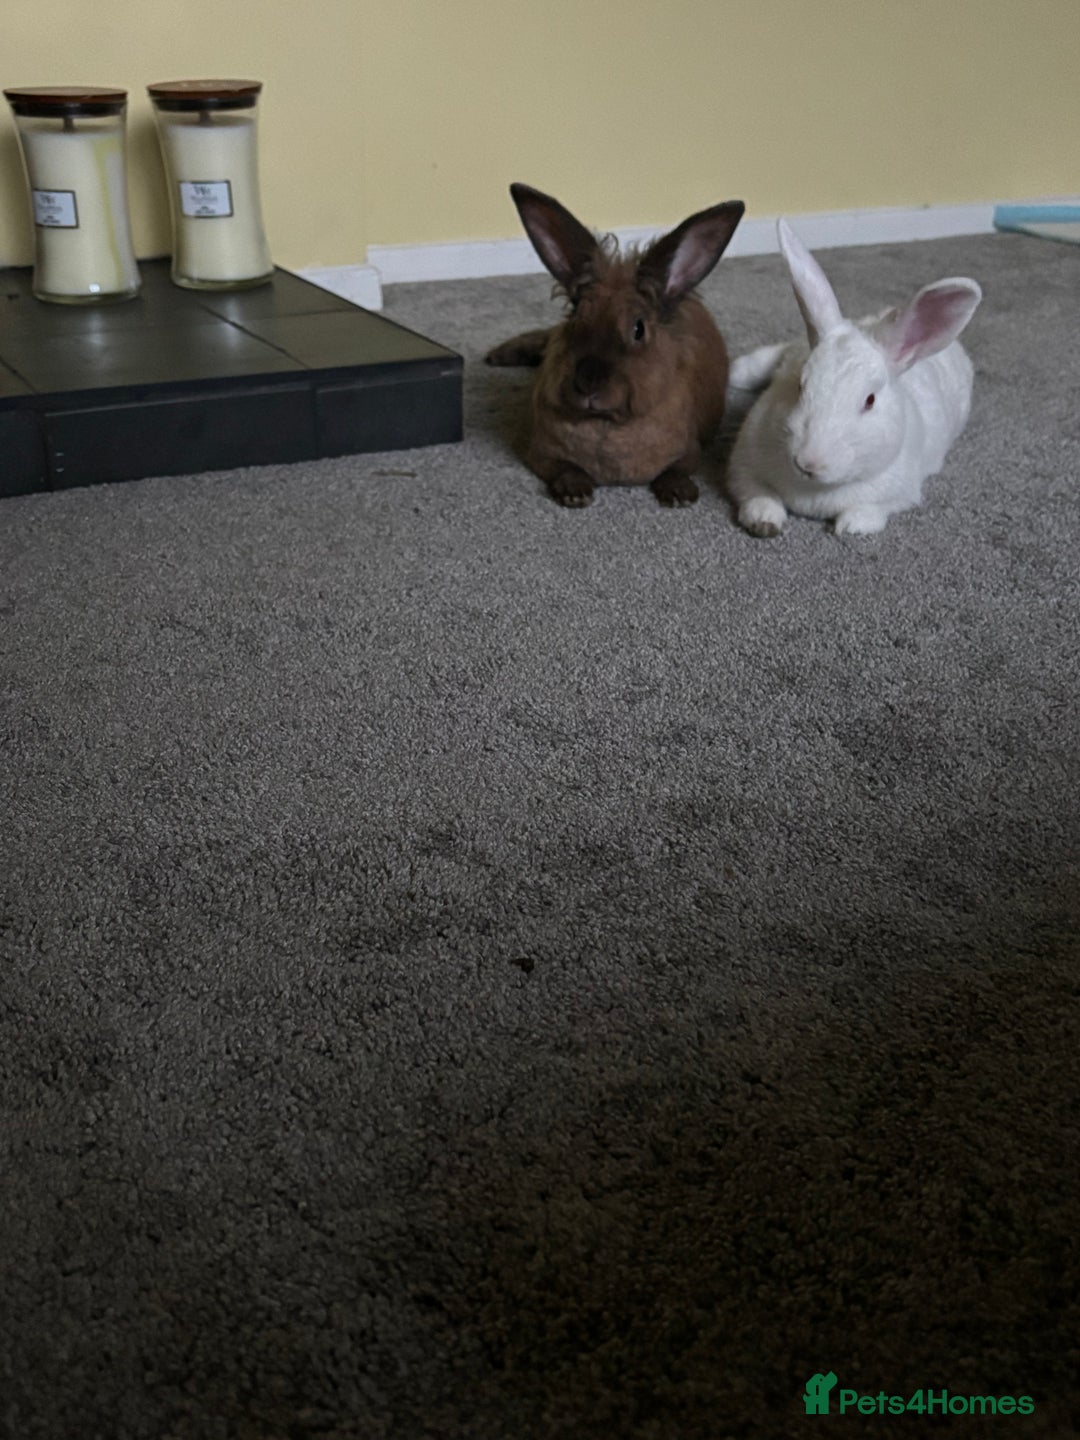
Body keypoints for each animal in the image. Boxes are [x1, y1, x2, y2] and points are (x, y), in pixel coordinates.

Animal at [485, 183, 745, 507]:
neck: (604, 424)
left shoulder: (690, 450)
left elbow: (677, 470)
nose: (588, 382)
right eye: (576, 315)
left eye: (639, 329)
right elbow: (564, 469)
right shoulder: (540, 454)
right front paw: (576, 493)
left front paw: (679, 496)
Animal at [727, 218, 982, 537]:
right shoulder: (743, 465)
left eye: (869, 401)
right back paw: (737, 371)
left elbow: (874, 509)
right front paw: (764, 521)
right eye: (800, 385)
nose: (809, 462)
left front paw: (850, 526)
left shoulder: (902, 493)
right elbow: (756, 493)